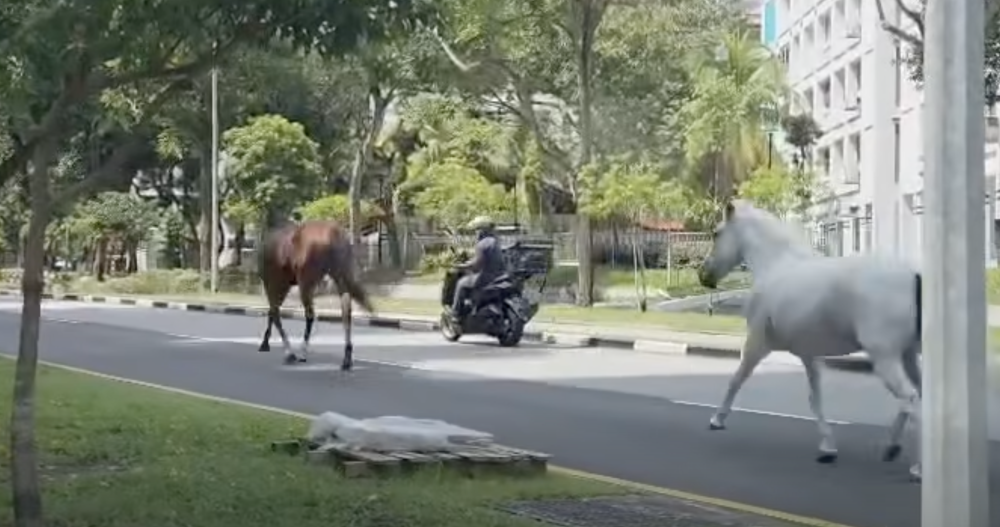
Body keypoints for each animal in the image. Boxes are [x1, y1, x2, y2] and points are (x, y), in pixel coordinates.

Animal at [256, 220, 376, 370]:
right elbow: (272, 313)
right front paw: (265, 343)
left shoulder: (275, 283)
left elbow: (274, 313)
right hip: (339, 279)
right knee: (346, 313)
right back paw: (346, 359)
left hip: (302, 284)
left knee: (305, 314)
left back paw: (297, 353)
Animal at [697, 199, 924, 481]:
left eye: (717, 233)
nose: (703, 275)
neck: (775, 266)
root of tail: (913, 273)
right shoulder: (808, 353)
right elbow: (815, 398)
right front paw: (827, 448)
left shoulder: (758, 344)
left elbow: (736, 379)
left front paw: (717, 420)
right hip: (908, 354)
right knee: (916, 398)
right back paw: (891, 447)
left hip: (885, 357)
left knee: (910, 399)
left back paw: (917, 467)